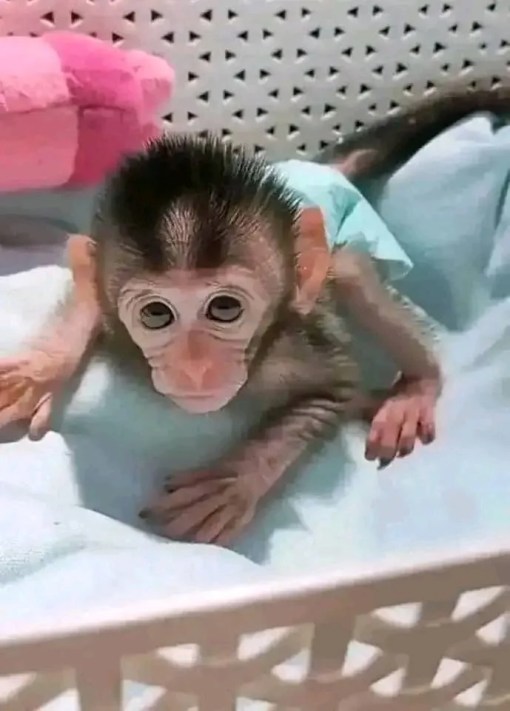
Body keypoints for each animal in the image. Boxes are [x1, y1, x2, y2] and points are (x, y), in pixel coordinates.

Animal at [0, 85, 508, 545]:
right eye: (156, 314)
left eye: (224, 309)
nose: (195, 367)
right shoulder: (102, 287)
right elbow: (86, 292)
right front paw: (38, 374)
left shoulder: (290, 347)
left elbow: (334, 388)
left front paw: (235, 482)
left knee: (347, 267)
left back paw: (418, 385)